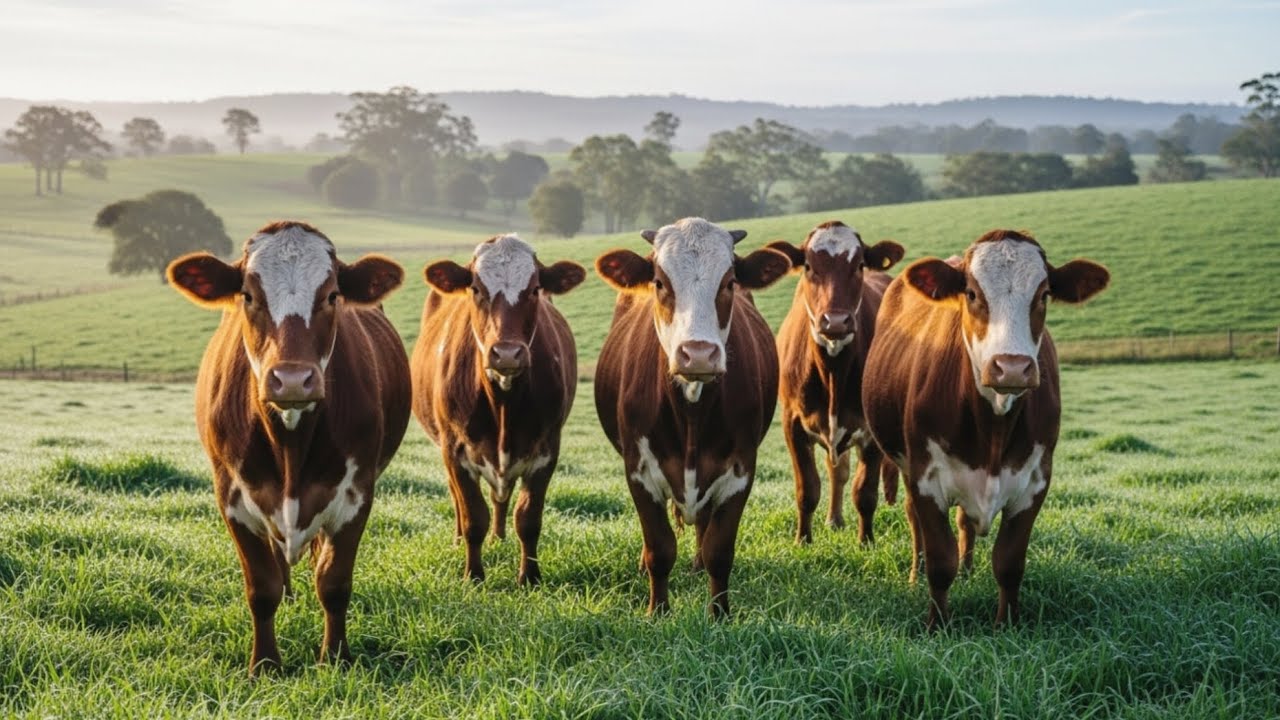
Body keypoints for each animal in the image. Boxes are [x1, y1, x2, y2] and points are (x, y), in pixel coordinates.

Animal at [165, 221, 412, 674]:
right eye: (248, 295)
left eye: (332, 295)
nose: (293, 379)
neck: (290, 445)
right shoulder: (232, 496)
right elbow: (262, 587)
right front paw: (264, 664)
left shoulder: (356, 494)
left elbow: (334, 582)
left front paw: (335, 658)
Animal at [411, 235, 585, 585]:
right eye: (476, 288)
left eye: (535, 289)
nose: (506, 353)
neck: (503, 401)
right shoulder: (455, 451)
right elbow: (473, 516)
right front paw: (474, 575)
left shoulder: (546, 450)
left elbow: (528, 518)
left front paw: (529, 576)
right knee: (458, 499)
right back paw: (459, 541)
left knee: (499, 498)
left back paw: (499, 538)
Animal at [594, 217, 791, 618]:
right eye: (659, 282)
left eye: (729, 282)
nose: (698, 353)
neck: (691, 412)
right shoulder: (638, 470)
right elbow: (659, 547)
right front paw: (658, 611)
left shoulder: (740, 470)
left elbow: (719, 549)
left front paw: (719, 614)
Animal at [767, 220, 905, 545]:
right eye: (808, 266)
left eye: (859, 265)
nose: (836, 321)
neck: (832, 371)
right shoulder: (792, 423)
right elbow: (807, 489)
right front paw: (803, 540)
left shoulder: (869, 431)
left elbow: (865, 492)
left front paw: (866, 541)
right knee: (836, 471)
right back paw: (834, 519)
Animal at [861, 229, 1109, 628]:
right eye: (972, 294)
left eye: (1044, 294)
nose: (1011, 367)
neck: (993, 427)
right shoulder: (925, 478)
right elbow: (940, 561)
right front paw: (938, 625)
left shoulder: (1035, 481)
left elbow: (1009, 562)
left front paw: (1007, 625)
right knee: (915, 520)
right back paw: (916, 574)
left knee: (965, 522)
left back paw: (968, 571)